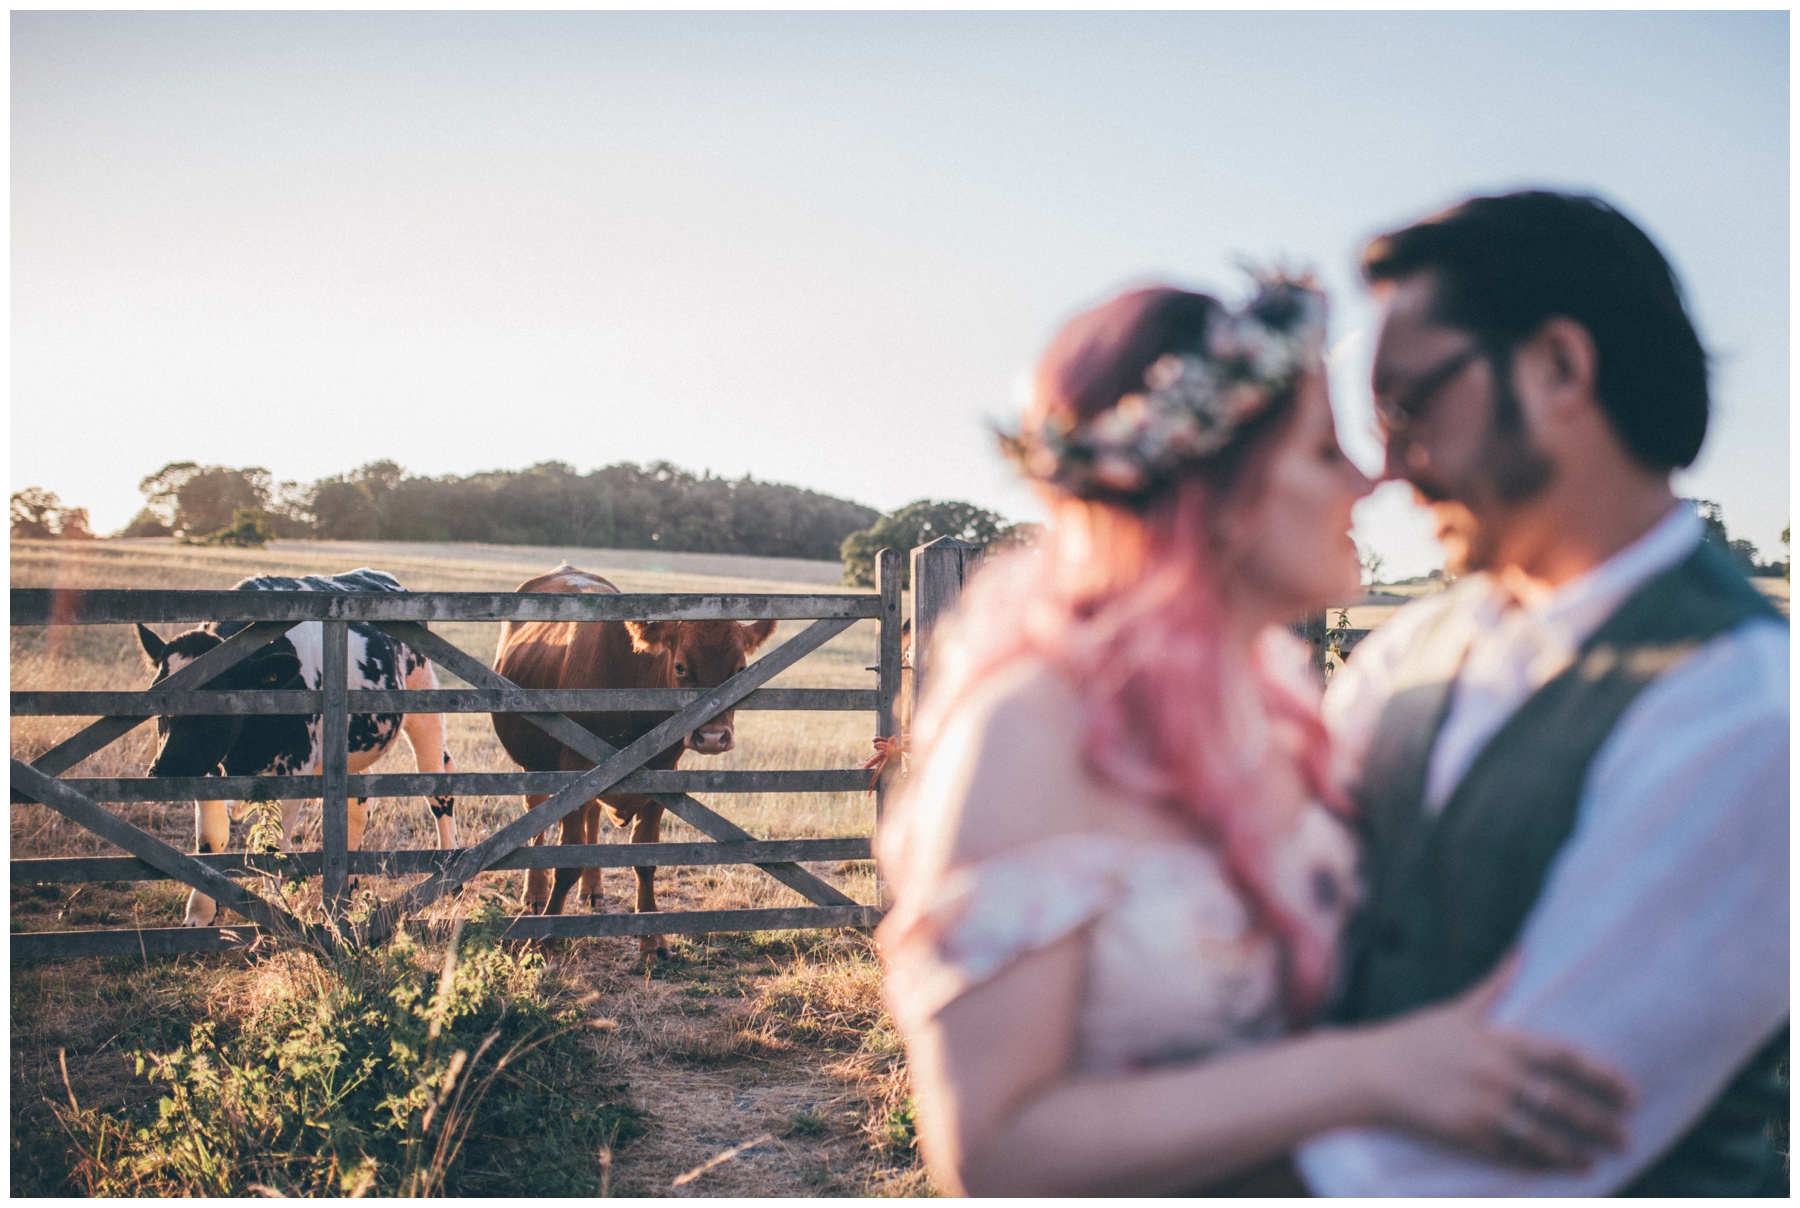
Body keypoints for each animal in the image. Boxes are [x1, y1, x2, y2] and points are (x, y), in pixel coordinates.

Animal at [137, 568, 460, 928]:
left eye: (215, 706)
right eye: (157, 698)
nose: (163, 771)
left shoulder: (292, 770)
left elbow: (271, 846)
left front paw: (272, 912)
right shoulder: (207, 769)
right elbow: (210, 838)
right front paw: (200, 913)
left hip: (424, 706)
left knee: (439, 786)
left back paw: (449, 876)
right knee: (358, 806)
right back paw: (344, 896)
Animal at [489, 561, 777, 957]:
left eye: (739, 671)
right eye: (681, 667)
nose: (713, 737)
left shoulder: (658, 780)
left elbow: (645, 860)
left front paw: (652, 940)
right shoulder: (575, 773)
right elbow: (566, 862)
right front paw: (544, 938)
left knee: (592, 818)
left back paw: (593, 889)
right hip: (534, 765)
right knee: (536, 815)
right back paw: (534, 893)